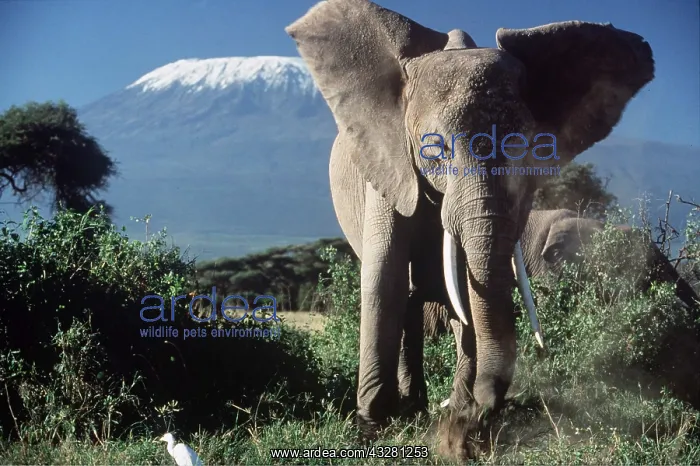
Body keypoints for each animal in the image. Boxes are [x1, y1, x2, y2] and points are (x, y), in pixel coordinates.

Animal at [286, 0, 655, 448]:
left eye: (526, 146)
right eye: (436, 149)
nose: (481, 412)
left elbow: (466, 281)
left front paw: (459, 412)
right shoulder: (388, 161)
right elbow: (386, 275)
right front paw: (372, 426)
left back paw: (433, 405)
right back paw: (413, 408)